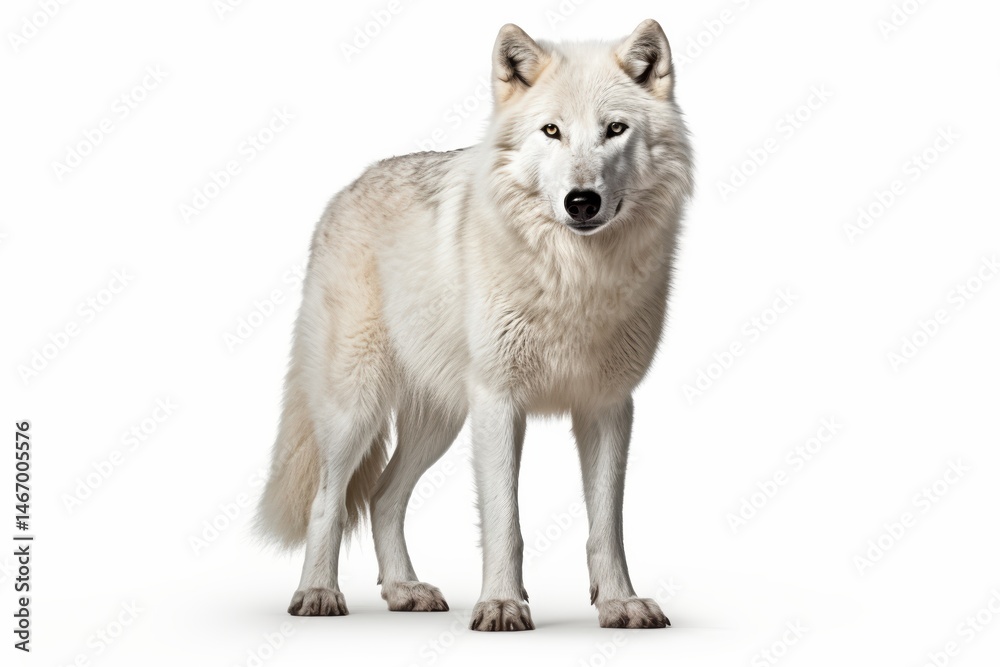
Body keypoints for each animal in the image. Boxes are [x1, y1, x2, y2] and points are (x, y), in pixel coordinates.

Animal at [256, 19, 693, 631]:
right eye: (551, 130)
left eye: (615, 130)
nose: (582, 201)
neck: (574, 279)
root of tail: (344, 191)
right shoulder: (499, 402)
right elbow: (505, 522)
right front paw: (502, 605)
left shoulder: (608, 406)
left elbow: (607, 528)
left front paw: (619, 604)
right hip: (356, 409)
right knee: (330, 500)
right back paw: (318, 594)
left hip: (439, 420)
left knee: (383, 498)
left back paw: (404, 590)